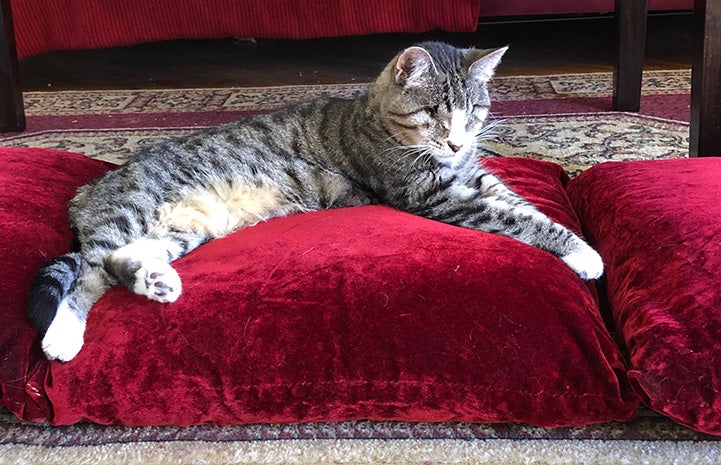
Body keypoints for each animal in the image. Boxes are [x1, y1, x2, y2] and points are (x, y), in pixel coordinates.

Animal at [26, 42, 600, 362]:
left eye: (474, 112)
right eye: (435, 113)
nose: (458, 143)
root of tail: (88, 189)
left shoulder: (476, 178)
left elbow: (521, 204)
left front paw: (577, 242)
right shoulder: (434, 196)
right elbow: (514, 218)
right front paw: (585, 255)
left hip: (182, 227)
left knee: (120, 262)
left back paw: (156, 281)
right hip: (133, 210)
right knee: (89, 273)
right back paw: (62, 337)